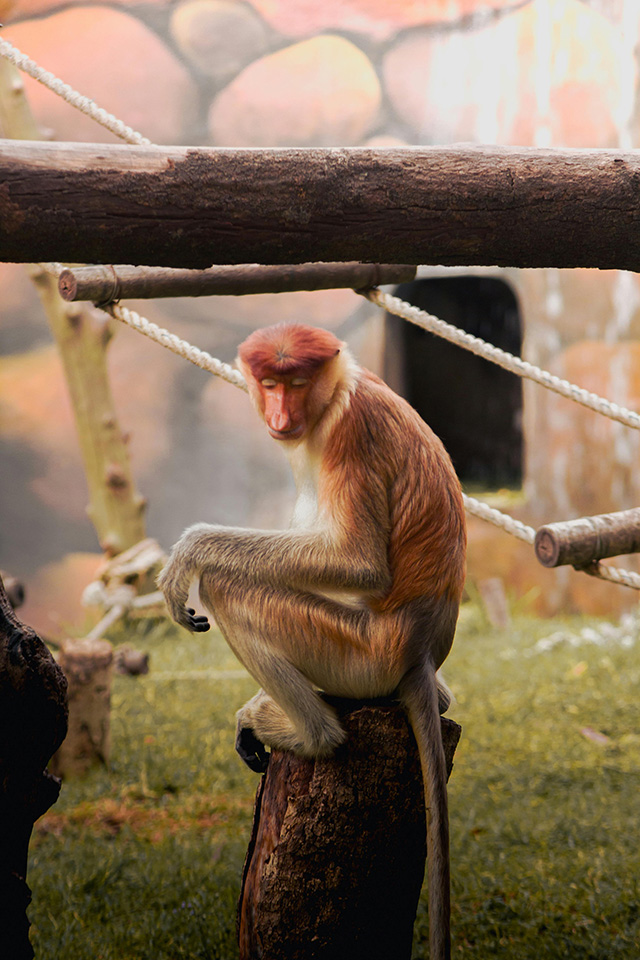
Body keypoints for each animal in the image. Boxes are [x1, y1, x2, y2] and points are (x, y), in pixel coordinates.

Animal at [157, 322, 466, 960]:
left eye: (295, 384)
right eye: (270, 383)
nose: (279, 414)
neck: (338, 392)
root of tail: (420, 654)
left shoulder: (350, 432)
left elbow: (358, 562)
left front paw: (189, 552)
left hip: (356, 653)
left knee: (230, 586)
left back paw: (308, 734)